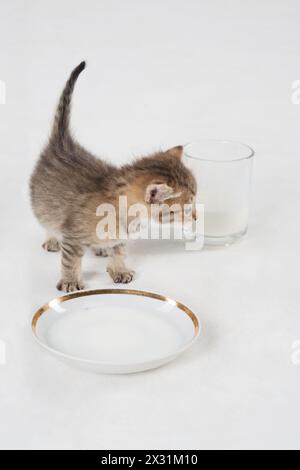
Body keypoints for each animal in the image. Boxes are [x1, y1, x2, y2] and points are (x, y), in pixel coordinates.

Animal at [29, 60, 197, 292]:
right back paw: (53, 239)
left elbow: (119, 250)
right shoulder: (72, 234)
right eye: (188, 207)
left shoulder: (120, 238)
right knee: (48, 221)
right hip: (43, 205)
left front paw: (119, 269)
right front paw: (71, 280)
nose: (197, 217)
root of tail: (62, 143)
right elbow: (70, 260)